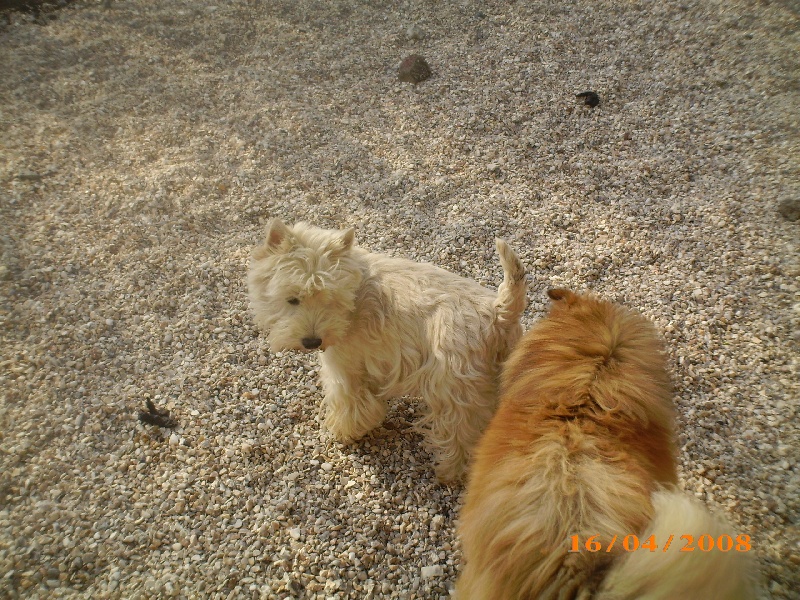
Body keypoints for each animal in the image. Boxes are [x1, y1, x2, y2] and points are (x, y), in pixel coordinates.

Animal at [247, 220, 528, 482]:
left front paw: (343, 432)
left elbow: (351, 405)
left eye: (330, 299)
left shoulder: (344, 369)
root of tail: (499, 312)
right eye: (292, 299)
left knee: (462, 436)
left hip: (455, 392)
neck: (354, 292)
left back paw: (449, 473)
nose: (312, 342)